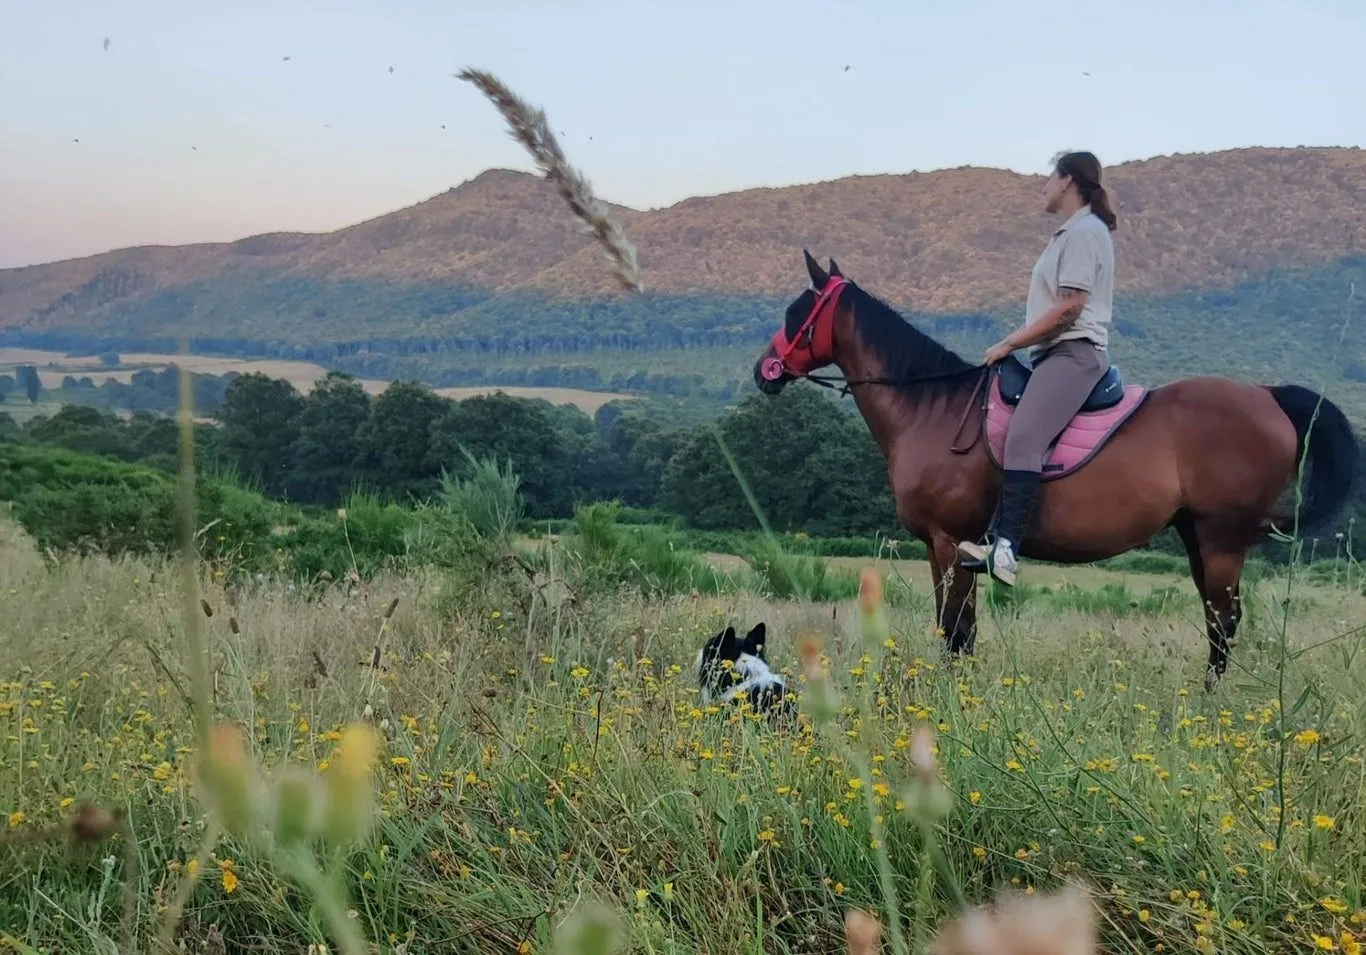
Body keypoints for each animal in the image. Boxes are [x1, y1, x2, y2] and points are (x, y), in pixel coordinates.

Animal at [753, 251, 1359, 686]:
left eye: (795, 313)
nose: (765, 371)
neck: (932, 406)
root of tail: (1266, 395)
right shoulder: (937, 546)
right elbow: (955, 628)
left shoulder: (952, 540)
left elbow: (956, 629)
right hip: (1196, 535)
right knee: (1217, 620)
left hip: (1222, 537)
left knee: (1224, 622)